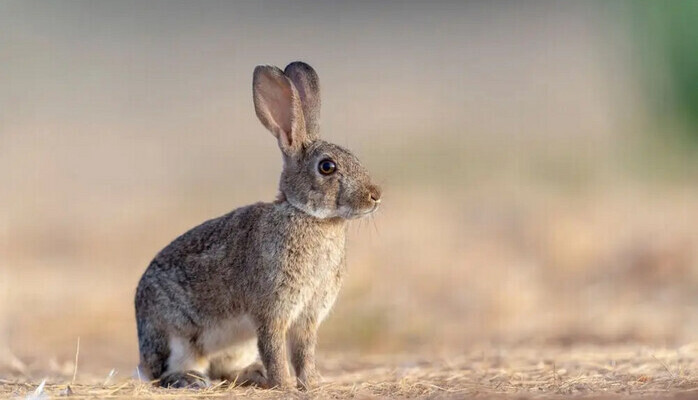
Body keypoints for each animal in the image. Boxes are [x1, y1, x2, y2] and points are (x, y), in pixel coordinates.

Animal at [133, 61, 378, 390]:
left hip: (237, 347)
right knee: (165, 373)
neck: (308, 215)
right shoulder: (272, 309)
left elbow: (304, 352)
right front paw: (285, 385)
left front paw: (313, 383)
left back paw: (253, 374)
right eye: (327, 167)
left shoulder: (308, 316)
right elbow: (274, 348)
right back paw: (191, 380)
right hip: (174, 336)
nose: (375, 195)